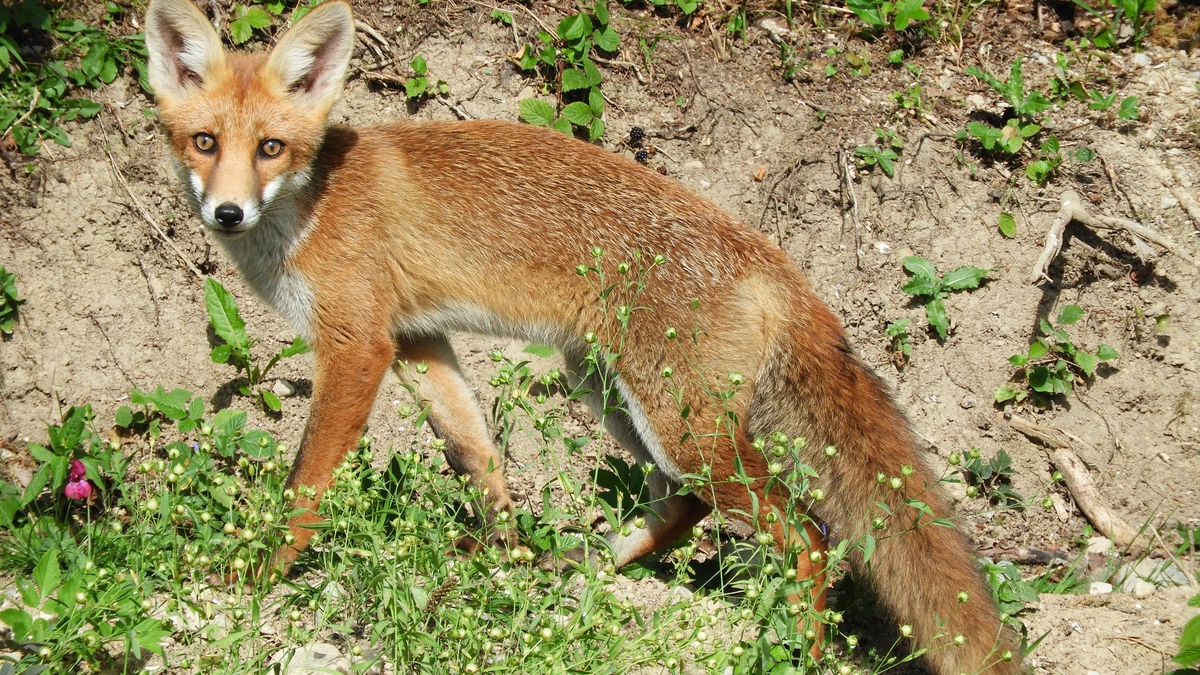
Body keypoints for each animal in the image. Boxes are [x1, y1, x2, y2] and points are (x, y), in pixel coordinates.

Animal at [145, 0, 1017, 667]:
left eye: (270, 147)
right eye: (203, 143)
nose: (227, 212)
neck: (311, 203)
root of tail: (773, 258)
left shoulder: (357, 346)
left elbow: (304, 487)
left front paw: (257, 575)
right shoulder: (418, 342)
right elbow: (478, 456)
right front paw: (499, 563)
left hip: (682, 429)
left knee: (809, 531)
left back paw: (792, 651)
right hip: (613, 396)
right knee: (683, 508)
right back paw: (590, 565)